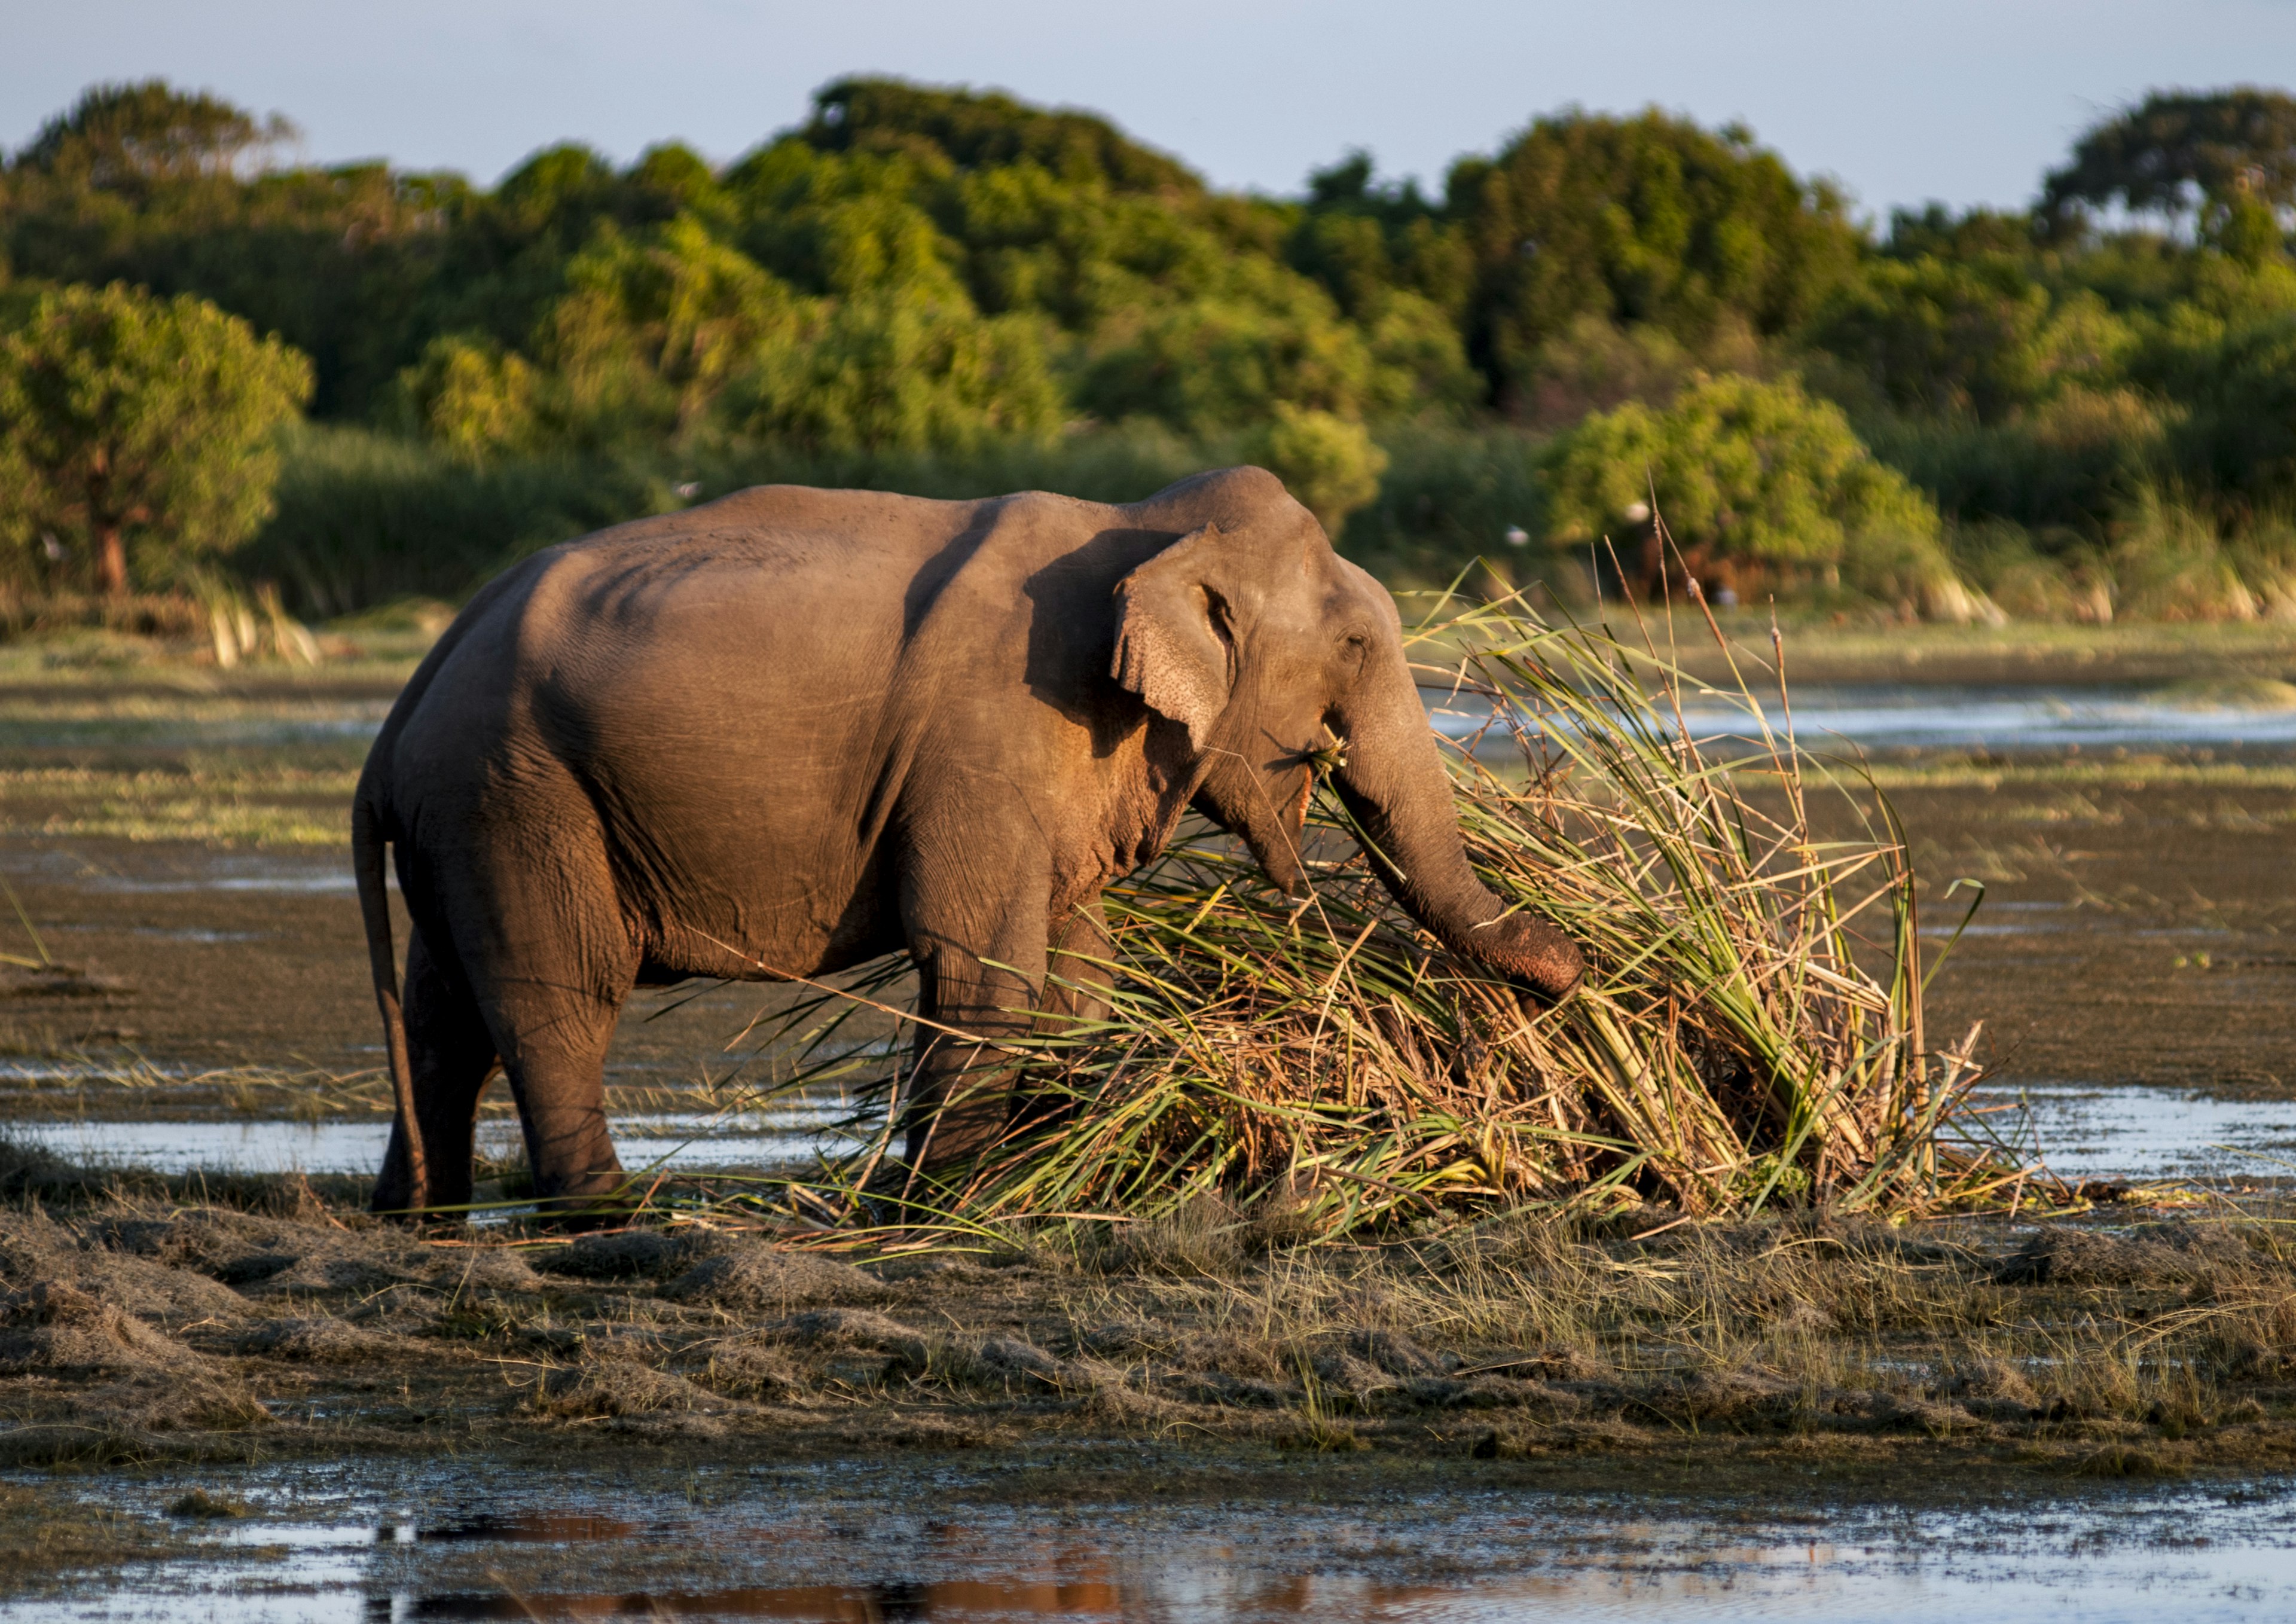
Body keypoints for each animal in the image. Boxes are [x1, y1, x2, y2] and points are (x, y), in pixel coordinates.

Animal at [358, 464, 1579, 1213]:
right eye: (1360, 645)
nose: (1577, 968)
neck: (1153, 523)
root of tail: (396, 720)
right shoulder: (987, 740)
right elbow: (984, 968)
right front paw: (947, 1207)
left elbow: (1078, 975)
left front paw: (1049, 1171)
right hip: (516, 796)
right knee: (555, 998)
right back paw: (605, 1210)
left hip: (466, 818)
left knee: (444, 1011)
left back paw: (419, 1210)